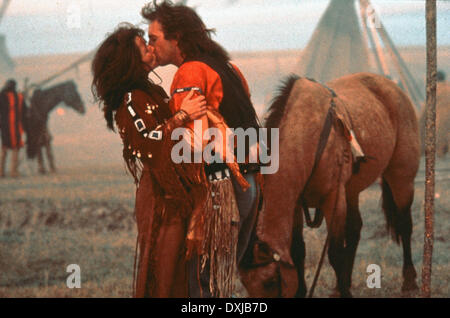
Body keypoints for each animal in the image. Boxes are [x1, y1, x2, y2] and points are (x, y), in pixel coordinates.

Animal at [241, 72, 420, 298]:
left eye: (270, 282)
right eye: (246, 285)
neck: (309, 136)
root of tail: (393, 88)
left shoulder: (333, 200)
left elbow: (335, 253)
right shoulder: (296, 204)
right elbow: (298, 249)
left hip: (401, 177)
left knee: (405, 225)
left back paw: (409, 281)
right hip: (352, 191)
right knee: (355, 229)